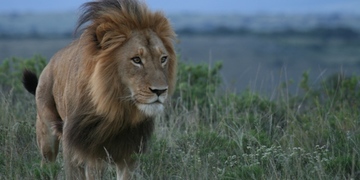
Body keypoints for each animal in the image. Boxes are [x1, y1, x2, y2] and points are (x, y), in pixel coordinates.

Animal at [21, 0, 176, 179]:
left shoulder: (129, 152)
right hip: (47, 137)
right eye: (136, 60)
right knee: (46, 165)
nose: (160, 91)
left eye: (163, 59)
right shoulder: (81, 148)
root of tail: (49, 64)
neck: (118, 108)